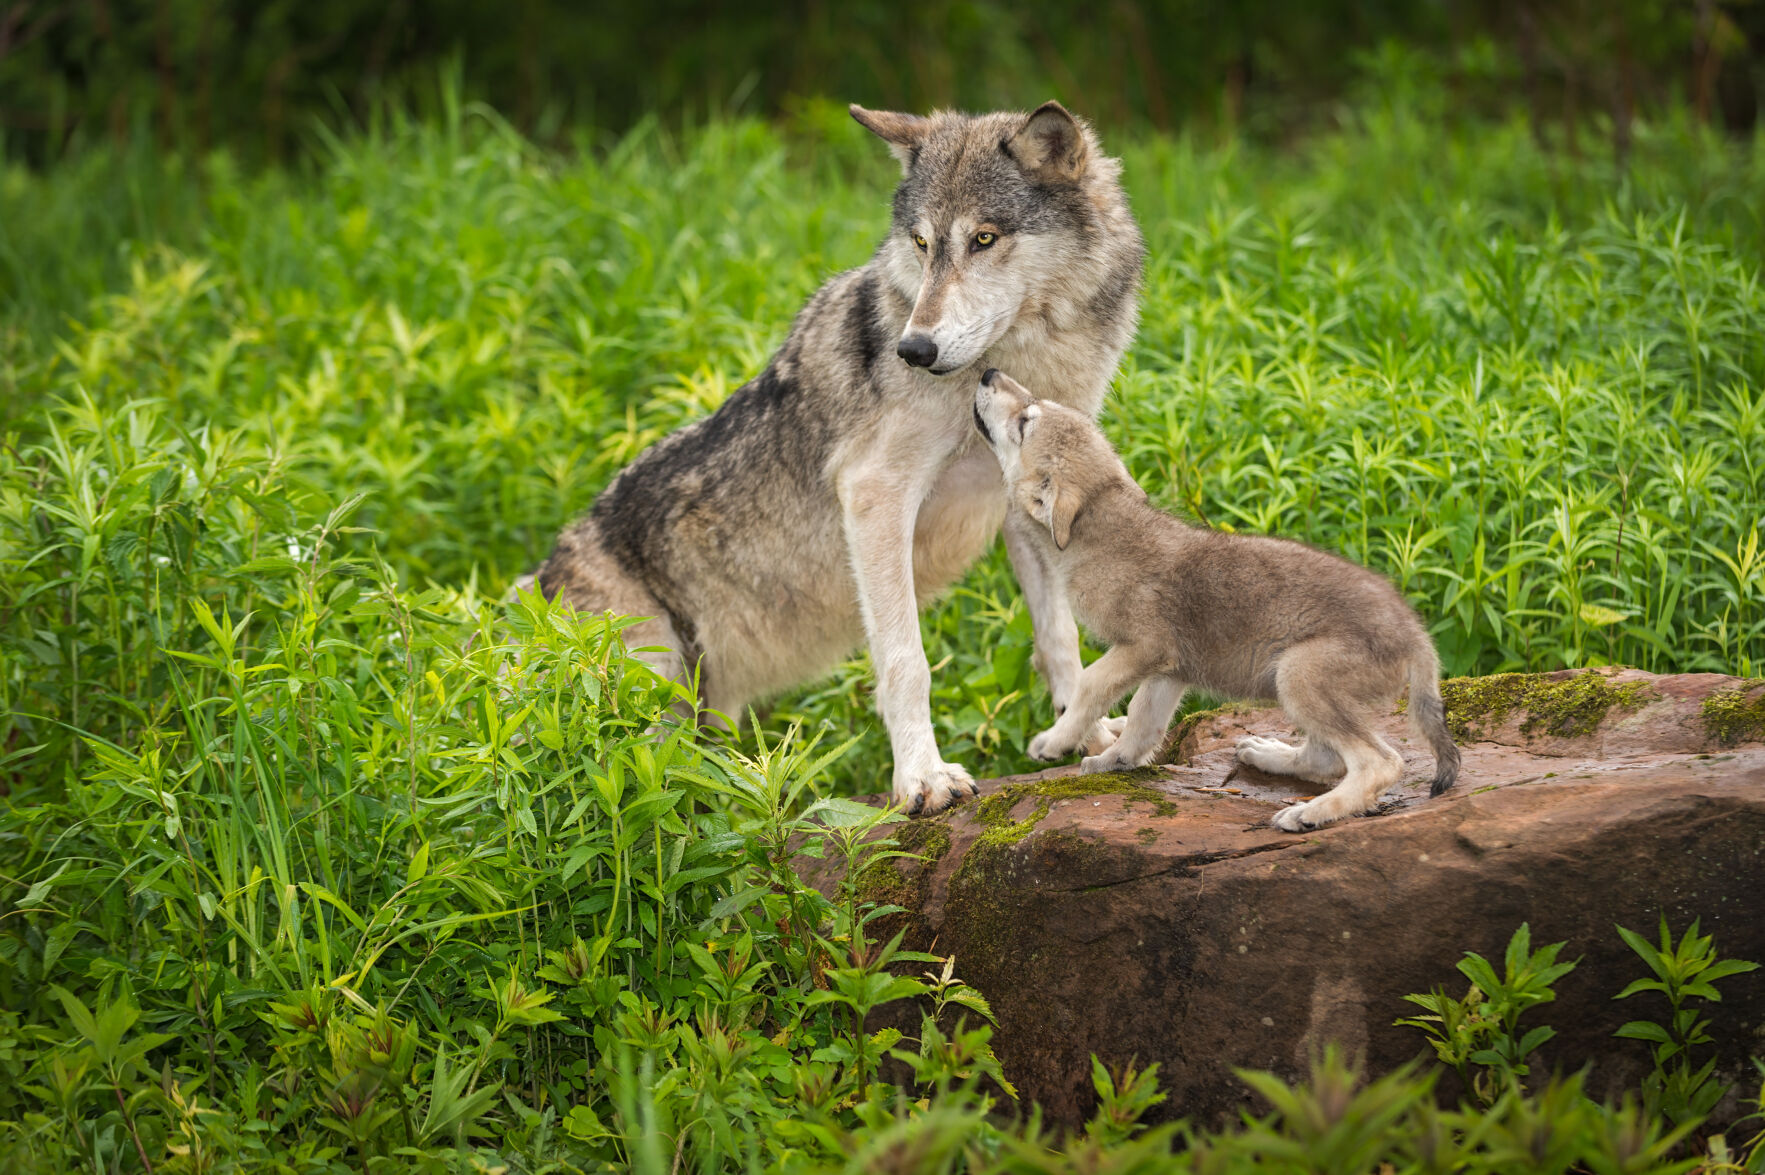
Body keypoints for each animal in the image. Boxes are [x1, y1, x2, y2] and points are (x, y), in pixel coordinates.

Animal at [526, 102, 1145, 813]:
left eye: (984, 239)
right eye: (922, 244)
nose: (913, 350)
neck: (1028, 358)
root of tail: (532, 588)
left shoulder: (1028, 504)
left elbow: (1059, 637)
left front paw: (1087, 735)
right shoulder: (876, 493)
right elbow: (907, 660)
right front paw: (923, 779)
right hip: (653, 680)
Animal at [972, 368, 1461, 831]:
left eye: (1025, 421)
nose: (989, 372)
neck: (1099, 532)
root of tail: (1418, 638)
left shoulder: (1142, 648)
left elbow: (1088, 685)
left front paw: (1056, 741)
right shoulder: (1168, 669)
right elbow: (1142, 721)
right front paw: (1115, 760)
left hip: (1298, 674)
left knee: (1380, 762)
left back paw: (1310, 813)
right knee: (1325, 759)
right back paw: (1267, 754)